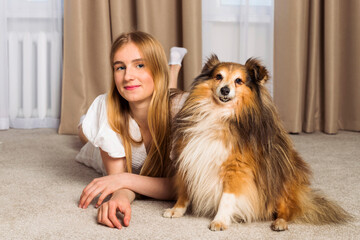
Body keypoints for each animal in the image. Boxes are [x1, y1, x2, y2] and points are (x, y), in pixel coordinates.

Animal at [164, 54, 352, 231]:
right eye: (218, 76)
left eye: (238, 81)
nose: (225, 90)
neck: (219, 114)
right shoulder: (190, 157)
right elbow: (185, 190)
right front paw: (177, 209)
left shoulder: (236, 168)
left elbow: (227, 197)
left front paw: (220, 220)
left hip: (281, 179)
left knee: (287, 209)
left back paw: (280, 223)